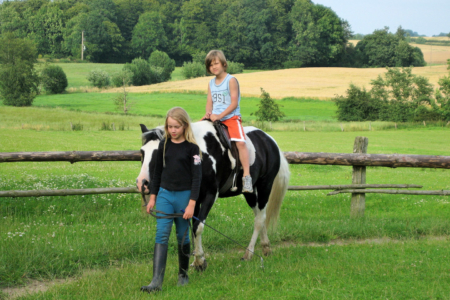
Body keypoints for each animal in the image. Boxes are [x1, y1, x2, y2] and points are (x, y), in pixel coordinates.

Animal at [135, 120, 290, 270]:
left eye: (160, 153)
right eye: (142, 152)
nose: (142, 183)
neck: (201, 155)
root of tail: (269, 140)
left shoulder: (210, 195)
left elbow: (198, 227)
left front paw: (199, 262)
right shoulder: (193, 199)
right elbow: (192, 227)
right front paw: (197, 260)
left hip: (265, 185)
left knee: (260, 219)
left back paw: (248, 254)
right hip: (249, 192)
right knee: (259, 215)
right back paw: (266, 247)